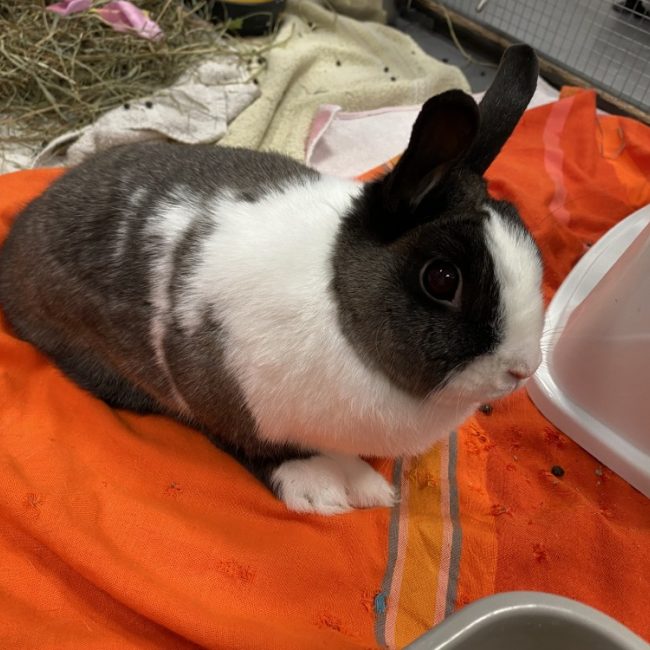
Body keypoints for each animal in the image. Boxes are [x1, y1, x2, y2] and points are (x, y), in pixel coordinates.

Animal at [0, 45, 543, 515]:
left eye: (529, 241)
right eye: (442, 279)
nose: (522, 370)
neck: (337, 302)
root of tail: (18, 239)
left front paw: (367, 487)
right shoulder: (223, 397)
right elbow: (254, 444)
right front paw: (326, 488)